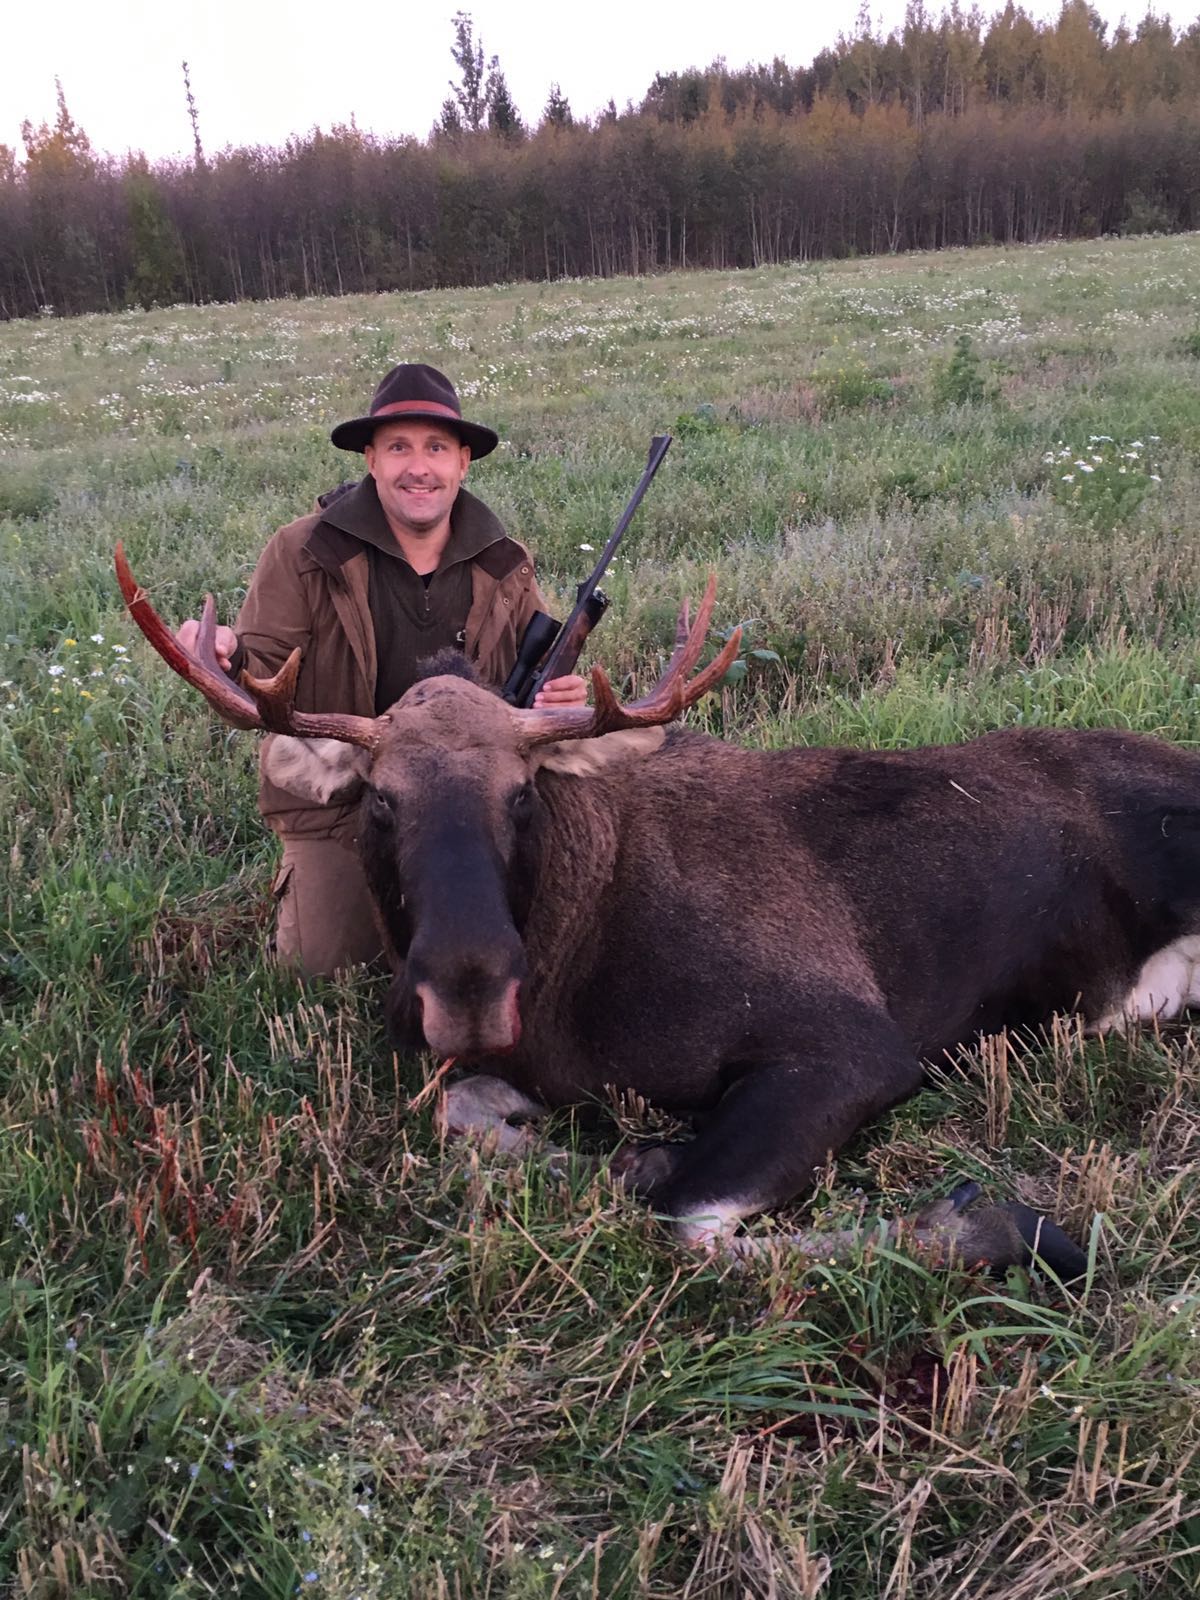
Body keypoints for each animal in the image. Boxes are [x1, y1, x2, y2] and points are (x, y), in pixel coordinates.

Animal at [116, 546, 1200, 1277]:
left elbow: (685, 1214)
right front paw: (593, 1146)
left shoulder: (854, 1044)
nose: (468, 991)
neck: (570, 971)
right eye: (380, 799)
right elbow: (471, 1115)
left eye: (522, 793)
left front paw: (1001, 1223)